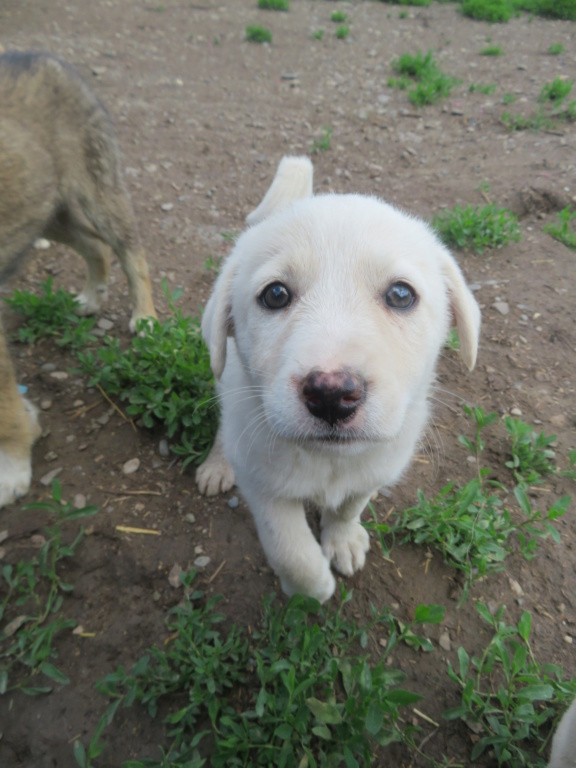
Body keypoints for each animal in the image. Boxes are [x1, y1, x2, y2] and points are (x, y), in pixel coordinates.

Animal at [0, 52, 156, 510]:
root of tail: (43, 57)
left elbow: (4, 408)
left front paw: (12, 466)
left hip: (97, 193)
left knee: (131, 251)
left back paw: (145, 316)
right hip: (48, 212)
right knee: (96, 248)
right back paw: (90, 295)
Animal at [196, 154, 480, 600]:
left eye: (401, 295)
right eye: (275, 294)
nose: (331, 395)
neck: (330, 461)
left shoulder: (375, 468)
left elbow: (349, 505)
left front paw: (343, 540)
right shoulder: (263, 484)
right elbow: (289, 547)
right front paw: (311, 588)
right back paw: (217, 464)